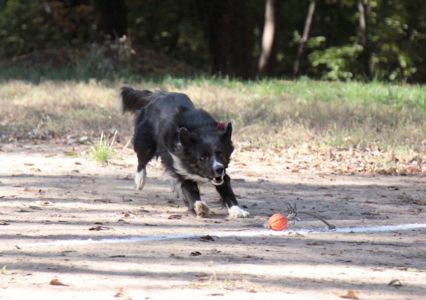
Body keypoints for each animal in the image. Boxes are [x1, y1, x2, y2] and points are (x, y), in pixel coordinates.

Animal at [120, 86, 250, 218]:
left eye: (222, 154)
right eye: (202, 158)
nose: (218, 168)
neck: (200, 130)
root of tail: (157, 95)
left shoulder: (220, 175)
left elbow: (226, 189)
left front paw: (237, 210)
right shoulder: (183, 170)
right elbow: (190, 190)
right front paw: (200, 206)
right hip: (145, 140)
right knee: (142, 159)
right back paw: (140, 180)